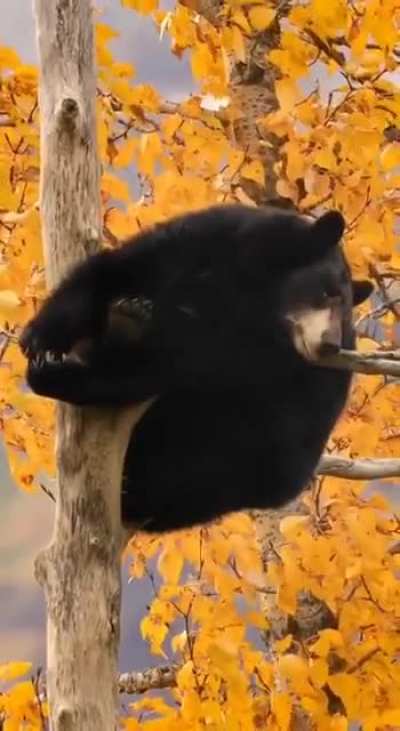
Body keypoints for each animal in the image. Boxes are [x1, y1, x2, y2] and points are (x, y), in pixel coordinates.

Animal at [20, 204, 373, 533]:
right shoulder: (206, 243)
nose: (330, 344)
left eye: (344, 312)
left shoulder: (248, 356)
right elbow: (116, 270)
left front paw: (57, 375)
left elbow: (165, 363)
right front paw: (40, 338)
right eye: (328, 292)